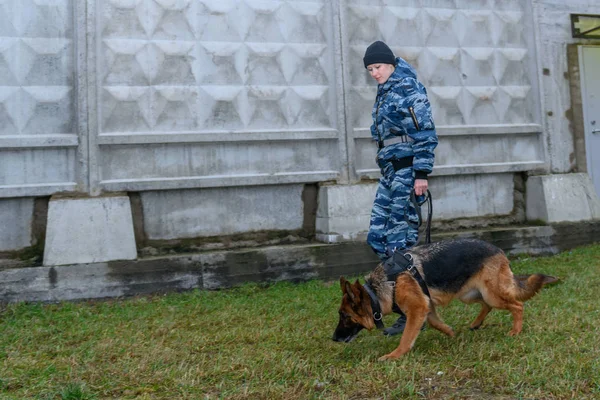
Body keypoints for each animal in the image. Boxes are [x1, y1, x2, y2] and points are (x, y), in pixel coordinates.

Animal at [332, 239, 556, 360]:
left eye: (344, 316)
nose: (333, 339)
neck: (383, 286)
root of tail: (499, 250)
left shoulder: (417, 308)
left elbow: (406, 337)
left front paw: (395, 355)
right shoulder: (426, 306)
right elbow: (435, 323)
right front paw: (450, 332)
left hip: (492, 294)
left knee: (517, 305)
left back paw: (515, 330)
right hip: (470, 294)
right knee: (486, 306)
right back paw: (476, 323)